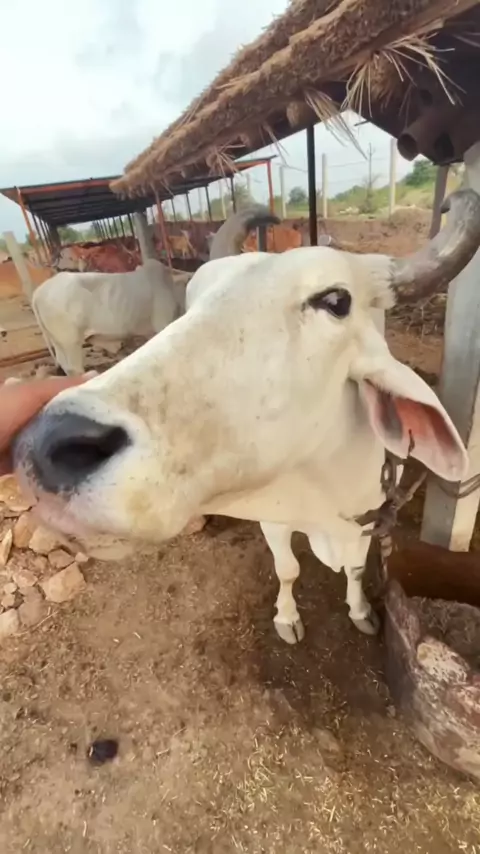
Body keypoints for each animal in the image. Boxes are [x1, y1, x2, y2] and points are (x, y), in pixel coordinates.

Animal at [13, 190, 480, 644]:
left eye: (335, 300)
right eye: (192, 301)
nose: (47, 446)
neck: (326, 489)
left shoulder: (369, 519)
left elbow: (356, 568)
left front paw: (361, 610)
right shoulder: (274, 518)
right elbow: (288, 570)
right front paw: (287, 618)